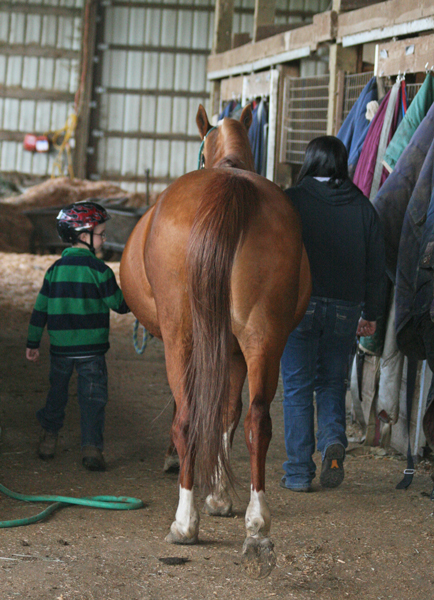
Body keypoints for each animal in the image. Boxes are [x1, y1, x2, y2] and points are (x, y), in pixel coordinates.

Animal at [120, 104, 311, 578]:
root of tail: (229, 186)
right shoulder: (236, 352)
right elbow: (228, 414)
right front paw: (222, 496)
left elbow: (189, 409)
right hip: (264, 335)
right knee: (258, 420)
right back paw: (257, 527)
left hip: (182, 335)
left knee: (188, 418)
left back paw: (184, 522)